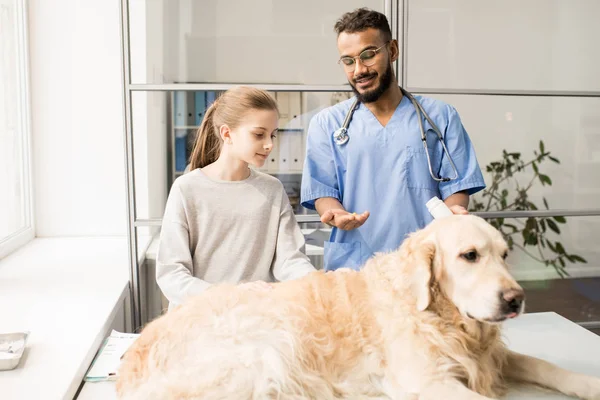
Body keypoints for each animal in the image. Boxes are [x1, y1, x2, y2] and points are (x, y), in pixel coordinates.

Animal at [116, 216, 600, 400]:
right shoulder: (424, 380)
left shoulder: (490, 356)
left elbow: (543, 365)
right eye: (469, 256)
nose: (516, 299)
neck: (437, 316)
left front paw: (588, 384)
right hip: (266, 346)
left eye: (503, 255)